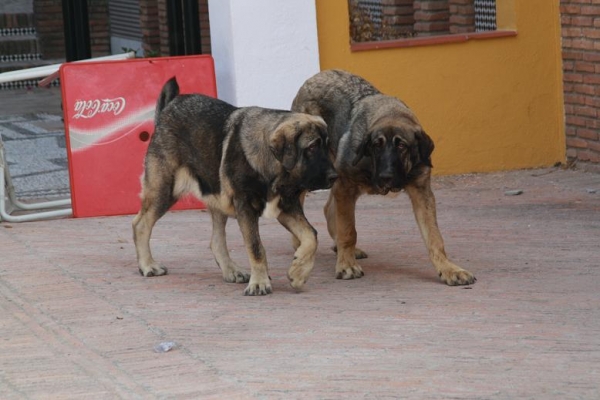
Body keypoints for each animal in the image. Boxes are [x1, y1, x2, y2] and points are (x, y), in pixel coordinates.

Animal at [132, 78, 338, 296]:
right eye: (312, 147)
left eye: (327, 146)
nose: (334, 177)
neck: (270, 165)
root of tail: (169, 106)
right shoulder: (246, 208)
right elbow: (256, 247)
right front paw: (260, 282)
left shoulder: (287, 207)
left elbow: (311, 235)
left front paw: (298, 272)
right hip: (164, 191)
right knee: (141, 224)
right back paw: (147, 265)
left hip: (217, 197)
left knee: (216, 241)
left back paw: (231, 270)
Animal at [292, 70, 476, 286]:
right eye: (376, 146)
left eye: (401, 146)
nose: (385, 176)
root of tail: (314, 77)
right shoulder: (346, 186)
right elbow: (348, 230)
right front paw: (346, 265)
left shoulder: (422, 193)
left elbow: (434, 237)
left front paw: (448, 269)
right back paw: (303, 245)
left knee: (328, 207)